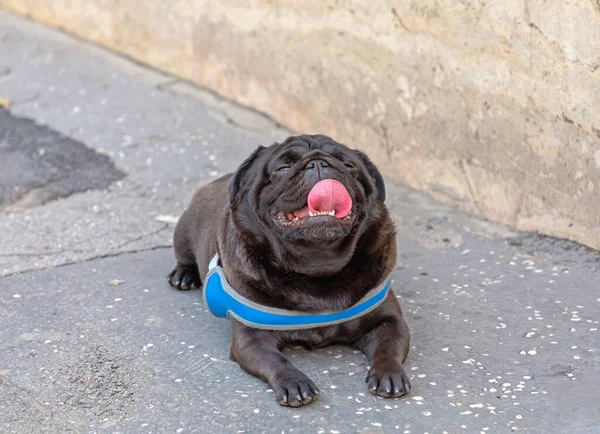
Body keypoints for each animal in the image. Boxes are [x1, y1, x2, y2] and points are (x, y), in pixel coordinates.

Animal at [169, 135, 412, 406]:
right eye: (283, 168)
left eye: (348, 166)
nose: (318, 163)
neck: (318, 264)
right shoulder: (251, 337)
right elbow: (276, 360)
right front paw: (294, 382)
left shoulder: (389, 320)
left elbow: (388, 346)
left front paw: (389, 374)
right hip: (183, 231)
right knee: (183, 256)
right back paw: (184, 276)